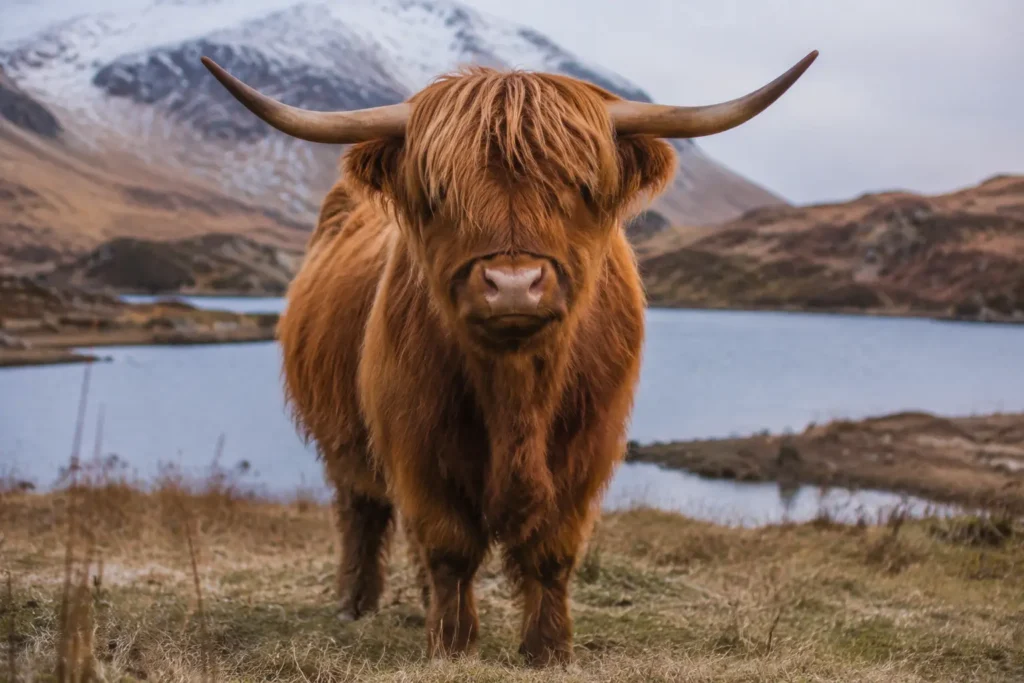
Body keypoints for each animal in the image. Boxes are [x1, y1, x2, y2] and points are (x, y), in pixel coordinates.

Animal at [201, 50, 817, 665]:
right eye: (438, 193)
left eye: (582, 185)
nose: (514, 285)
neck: (517, 392)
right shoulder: (418, 445)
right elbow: (449, 547)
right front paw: (451, 646)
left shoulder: (587, 450)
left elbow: (550, 554)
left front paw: (549, 649)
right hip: (344, 441)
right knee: (362, 511)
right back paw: (355, 603)